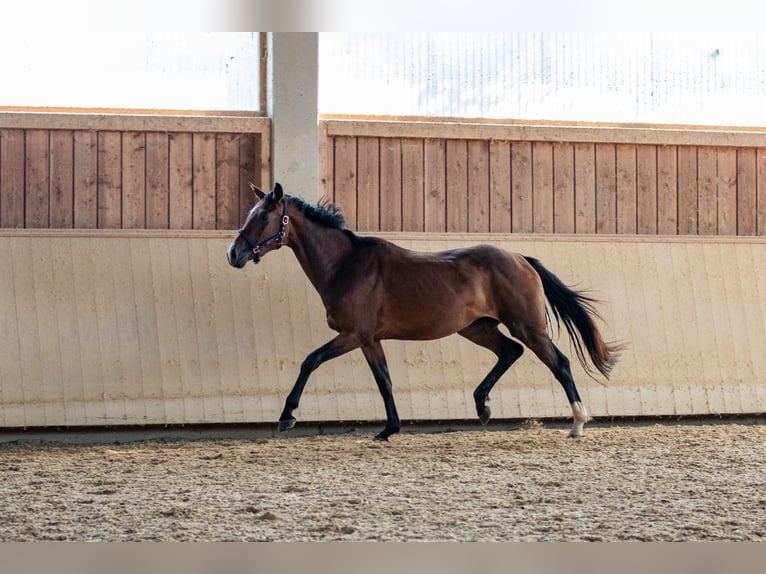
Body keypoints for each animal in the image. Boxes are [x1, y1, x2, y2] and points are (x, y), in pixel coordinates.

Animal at [228, 182, 624, 444]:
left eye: (262, 216)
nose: (234, 253)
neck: (346, 264)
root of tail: (520, 258)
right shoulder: (370, 339)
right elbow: (385, 381)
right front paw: (389, 429)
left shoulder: (354, 335)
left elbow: (310, 361)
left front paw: (287, 417)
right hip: (478, 328)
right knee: (510, 352)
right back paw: (482, 406)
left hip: (527, 327)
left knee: (559, 363)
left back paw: (577, 423)